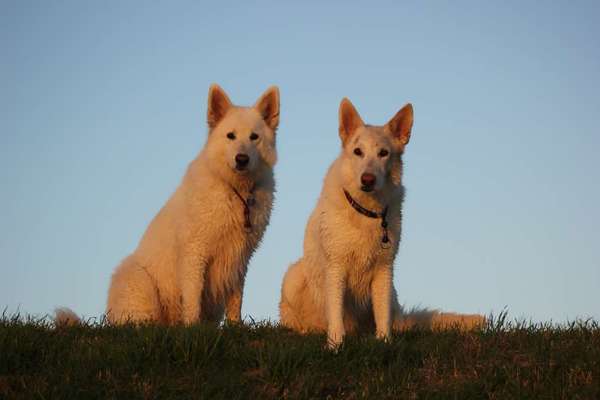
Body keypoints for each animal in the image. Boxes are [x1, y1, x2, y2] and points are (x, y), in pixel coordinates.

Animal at [280, 97, 482, 346]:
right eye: (358, 152)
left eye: (384, 153)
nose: (367, 179)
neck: (367, 211)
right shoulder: (336, 268)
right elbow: (336, 313)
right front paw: (335, 345)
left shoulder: (384, 269)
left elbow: (382, 314)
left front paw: (385, 342)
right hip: (293, 277)